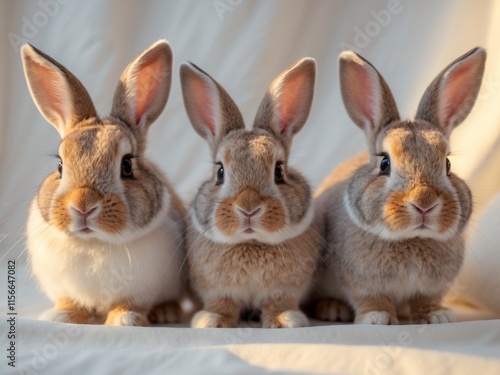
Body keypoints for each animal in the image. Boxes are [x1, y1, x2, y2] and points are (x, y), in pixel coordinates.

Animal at [22, 41, 188, 328]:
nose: (83, 207)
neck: (94, 242)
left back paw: (167, 312)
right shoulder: (64, 288)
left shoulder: (139, 290)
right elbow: (71, 302)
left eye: (127, 166)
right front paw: (61, 316)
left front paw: (125, 320)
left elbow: (130, 304)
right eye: (60, 166)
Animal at [180, 58, 320, 328]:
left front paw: (286, 320)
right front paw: (212, 320)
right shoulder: (218, 290)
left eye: (279, 171)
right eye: (220, 172)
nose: (248, 208)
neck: (252, 242)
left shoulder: (283, 290)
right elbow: (222, 303)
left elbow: (278, 303)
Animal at [314, 47, 486, 324]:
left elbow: (426, 300)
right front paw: (378, 318)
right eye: (384, 163)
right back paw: (333, 309)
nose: (424, 203)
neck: (412, 238)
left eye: (447, 164)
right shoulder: (362, 284)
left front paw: (437, 316)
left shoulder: (431, 288)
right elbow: (372, 299)